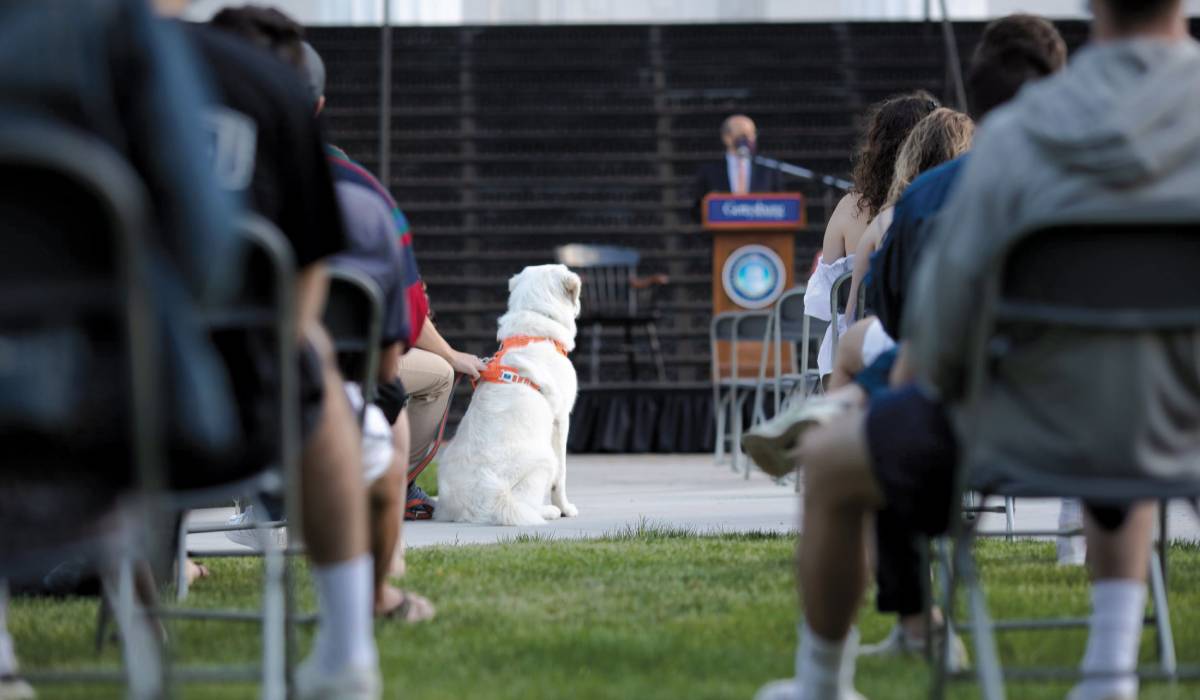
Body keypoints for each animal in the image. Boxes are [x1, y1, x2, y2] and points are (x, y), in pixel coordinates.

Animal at [436, 264, 580, 525]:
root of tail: (483, 505)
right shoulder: (561, 420)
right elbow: (561, 478)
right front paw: (565, 508)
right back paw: (549, 511)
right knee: (528, 505)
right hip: (545, 459)